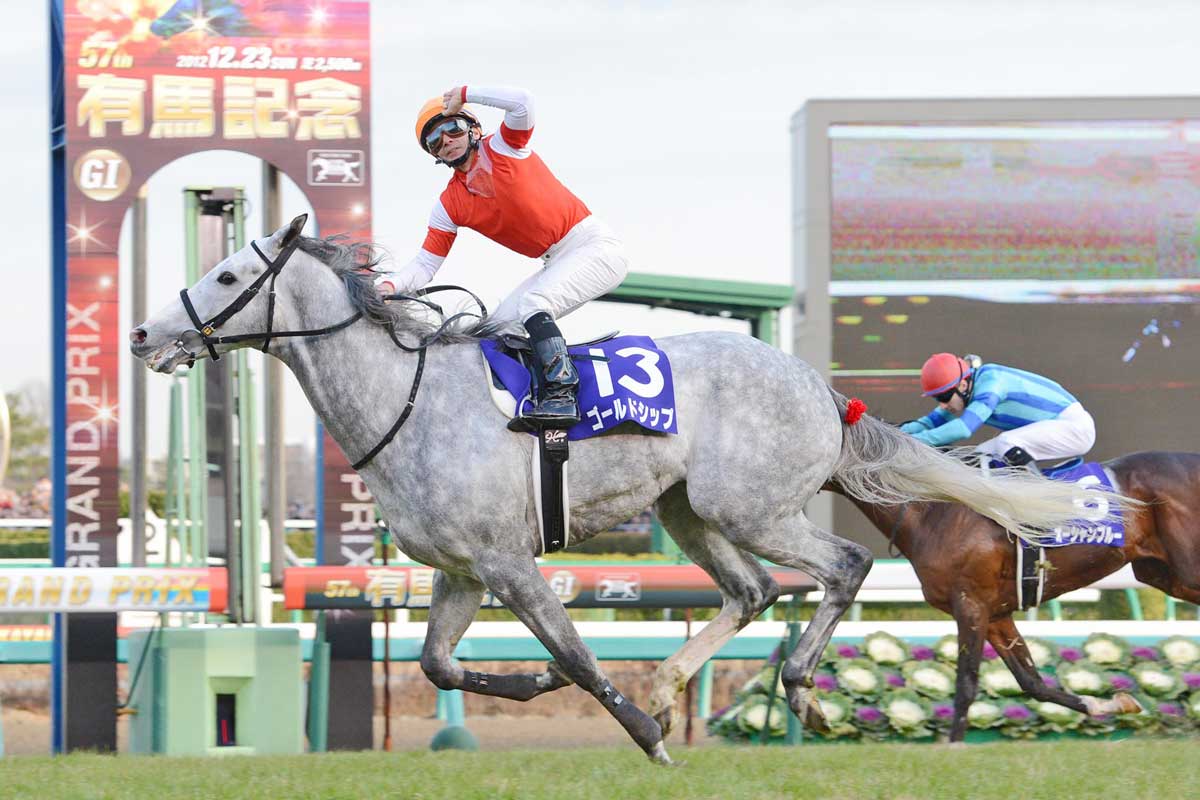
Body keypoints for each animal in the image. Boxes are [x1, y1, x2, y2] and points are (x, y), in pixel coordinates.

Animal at [129, 215, 1129, 763]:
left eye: (228, 274)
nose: (143, 334)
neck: (405, 398)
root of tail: (817, 385)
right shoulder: (461, 570)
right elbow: (439, 666)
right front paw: (542, 686)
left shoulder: (507, 561)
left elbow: (575, 655)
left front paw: (642, 735)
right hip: (688, 513)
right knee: (754, 590)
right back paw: (683, 681)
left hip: (749, 507)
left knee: (839, 565)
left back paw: (799, 684)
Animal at [828, 449, 1200, 742]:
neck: (935, 509)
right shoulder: (994, 614)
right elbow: (1032, 682)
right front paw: (1111, 702)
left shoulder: (971, 603)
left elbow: (966, 684)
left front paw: (952, 748)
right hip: (1162, 573)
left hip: (1186, 568)